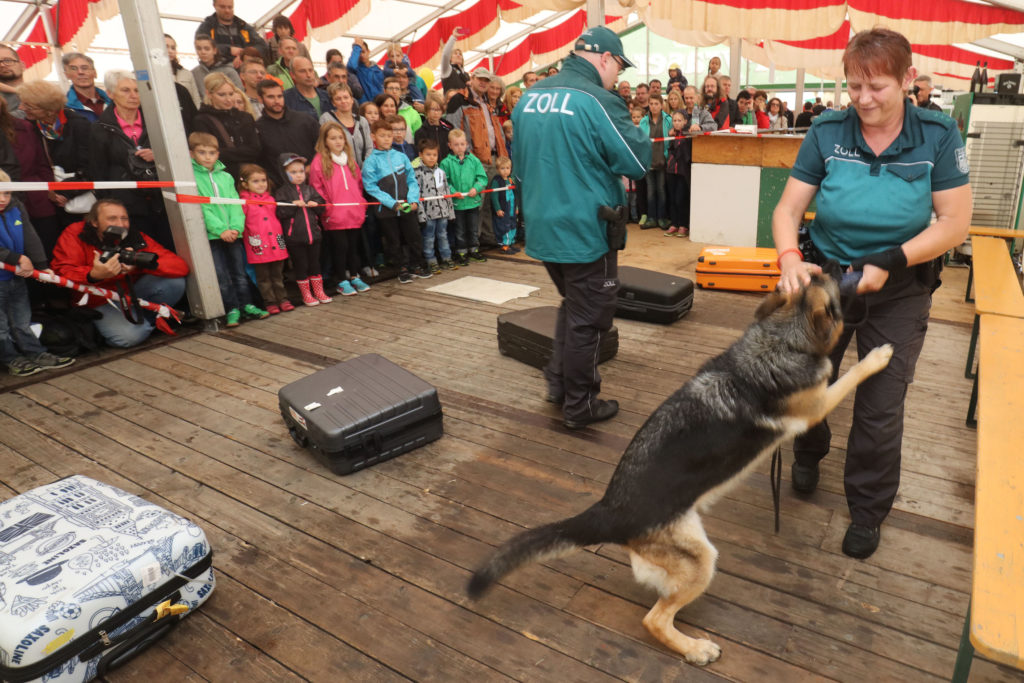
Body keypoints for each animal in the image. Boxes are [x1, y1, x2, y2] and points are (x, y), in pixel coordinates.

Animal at [468, 270, 892, 663]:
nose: (845, 266)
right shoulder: (816, 406)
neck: (778, 340)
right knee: (654, 620)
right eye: (836, 291)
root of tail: (607, 510)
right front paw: (877, 357)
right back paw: (695, 648)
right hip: (702, 560)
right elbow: (850, 375)